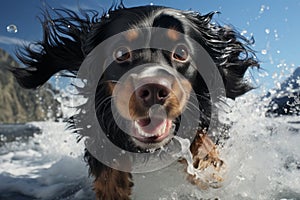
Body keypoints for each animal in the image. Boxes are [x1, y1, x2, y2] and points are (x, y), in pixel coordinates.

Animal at [8, 2, 258, 199]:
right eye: (121, 53)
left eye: (181, 52)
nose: (154, 90)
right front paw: (114, 188)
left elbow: (203, 138)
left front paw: (207, 168)